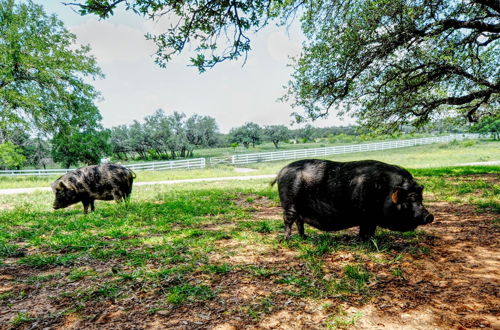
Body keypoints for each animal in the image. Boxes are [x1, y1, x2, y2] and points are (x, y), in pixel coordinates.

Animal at [274, 159, 434, 240]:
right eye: (409, 200)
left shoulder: (371, 219)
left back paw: (304, 237)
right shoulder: (367, 216)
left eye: (420, 198)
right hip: (289, 204)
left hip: (299, 208)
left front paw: (371, 239)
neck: (384, 191)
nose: (429, 216)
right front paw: (365, 241)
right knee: (288, 221)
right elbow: (365, 230)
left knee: (299, 222)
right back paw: (287, 240)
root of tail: (282, 170)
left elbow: (371, 231)